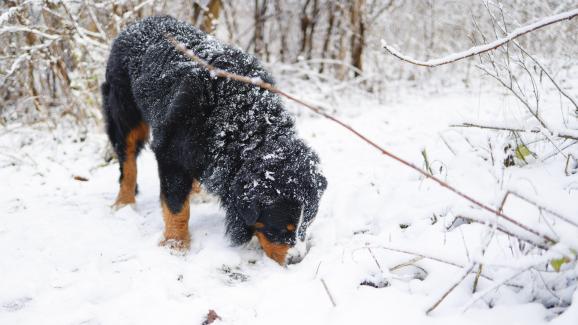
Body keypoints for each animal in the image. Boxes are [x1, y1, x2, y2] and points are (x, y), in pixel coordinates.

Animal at [102, 15, 326, 264]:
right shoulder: (170, 152)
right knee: (128, 159)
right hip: (124, 112)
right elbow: (176, 206)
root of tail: (138, 23)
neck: (237, 116)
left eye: (306, 224)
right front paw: (175, 244)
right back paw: (124, 203)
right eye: (279, 228)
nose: (297, 260)